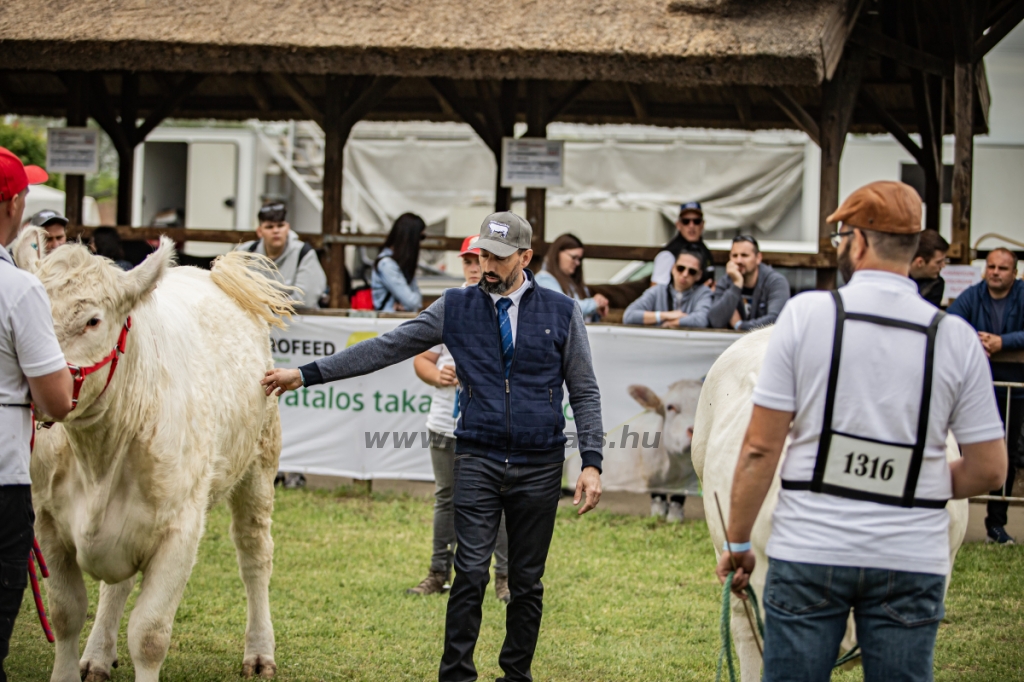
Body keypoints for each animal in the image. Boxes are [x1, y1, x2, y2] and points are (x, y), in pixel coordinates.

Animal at [14, 229, 292, 679]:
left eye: (92, 321)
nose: (37, 384)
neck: (99, 457)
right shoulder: (48, 524)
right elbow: (66, 613)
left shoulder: (179, 532)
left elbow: (149, 634)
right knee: (117, 585)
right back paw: (97, 654)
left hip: (259, 466)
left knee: (255, 554)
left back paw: (259, 651)